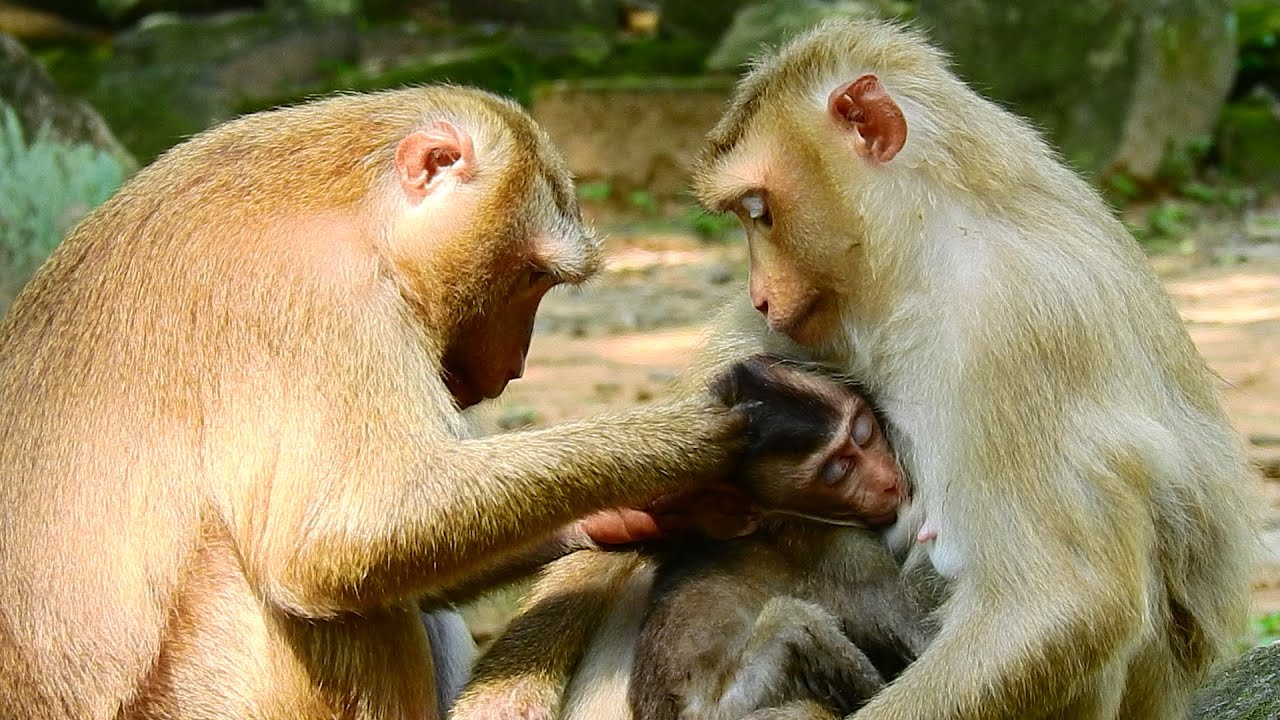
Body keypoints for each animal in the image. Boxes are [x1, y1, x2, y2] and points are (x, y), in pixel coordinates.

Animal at [0, 86, 749, 720]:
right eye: (531, 276)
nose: (513, 366)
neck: (347, 205)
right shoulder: (318, 296)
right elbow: (341, 535)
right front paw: (699, 436)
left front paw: (631, 516)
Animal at [628, 355, 933, 720]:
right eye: (837, 471)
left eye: (863, 432)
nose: (887, 482)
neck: (783, 518)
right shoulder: (849, 553)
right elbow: (920, 641)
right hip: (735, 706)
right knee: (792, 623)